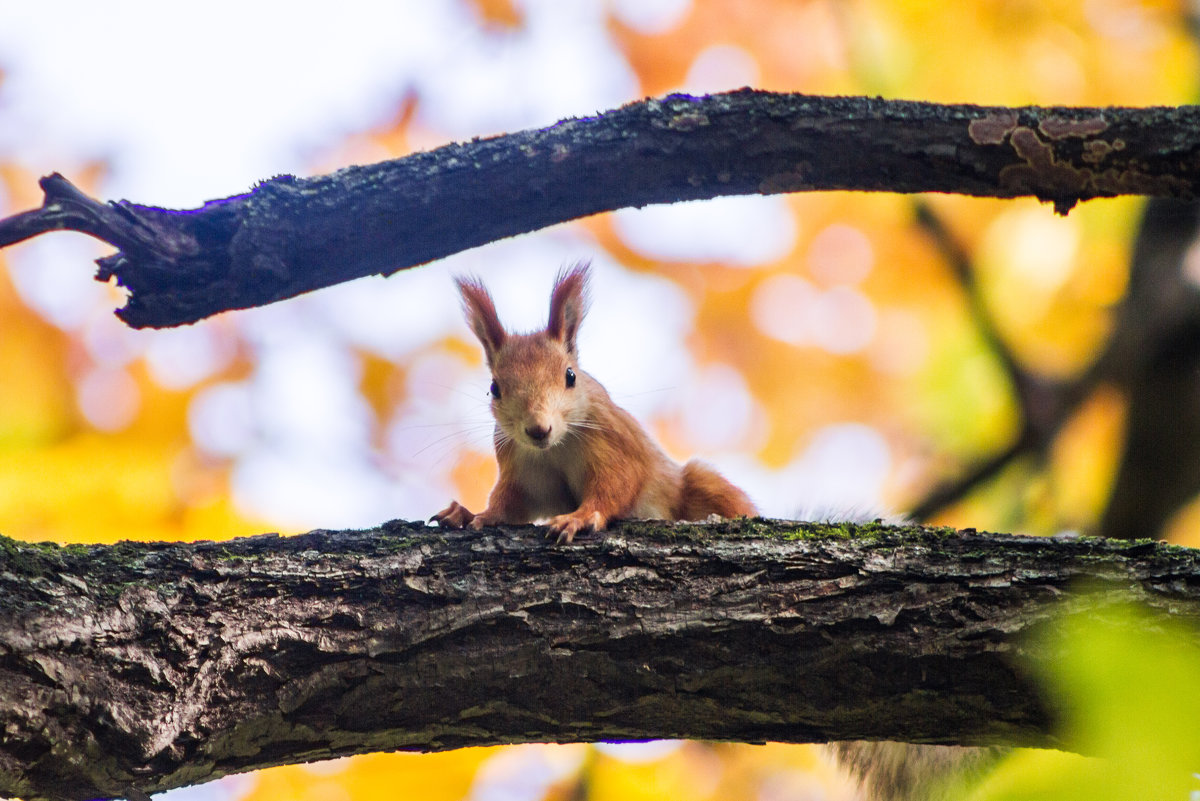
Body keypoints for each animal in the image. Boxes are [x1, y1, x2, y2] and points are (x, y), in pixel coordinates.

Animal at [429, 260, 748, 541]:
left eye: (570, 376)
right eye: (494, 388)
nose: (538, 430)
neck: (556, 447)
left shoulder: (613, 441)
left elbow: (616, 485)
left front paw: (578, 518)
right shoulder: (521, 467)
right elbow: (509, 504)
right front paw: (471, 514)